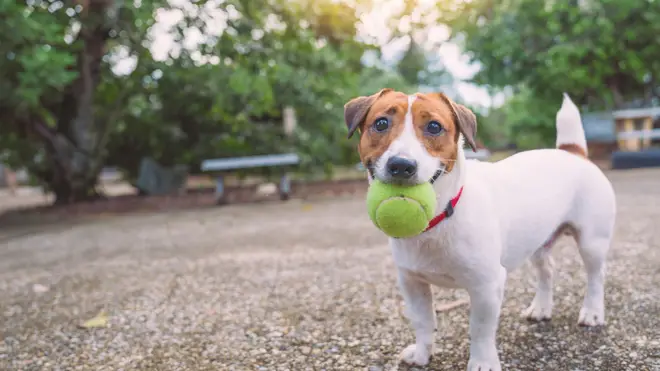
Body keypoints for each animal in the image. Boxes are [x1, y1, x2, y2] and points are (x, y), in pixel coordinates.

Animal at [342, 90, 616, 371]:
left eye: (434, 127)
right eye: (381, 123)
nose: (401, 165)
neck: (441, 216)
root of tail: (573, 152)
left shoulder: (486, 286)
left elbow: (481, 329)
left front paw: (482, 362)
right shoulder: (412, 282)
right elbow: (423, 321)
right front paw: (422, 354)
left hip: (592, 242)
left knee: (596, 276)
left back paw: (593, 312)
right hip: (537, 242)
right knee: (547, 270)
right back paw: (541, 308)